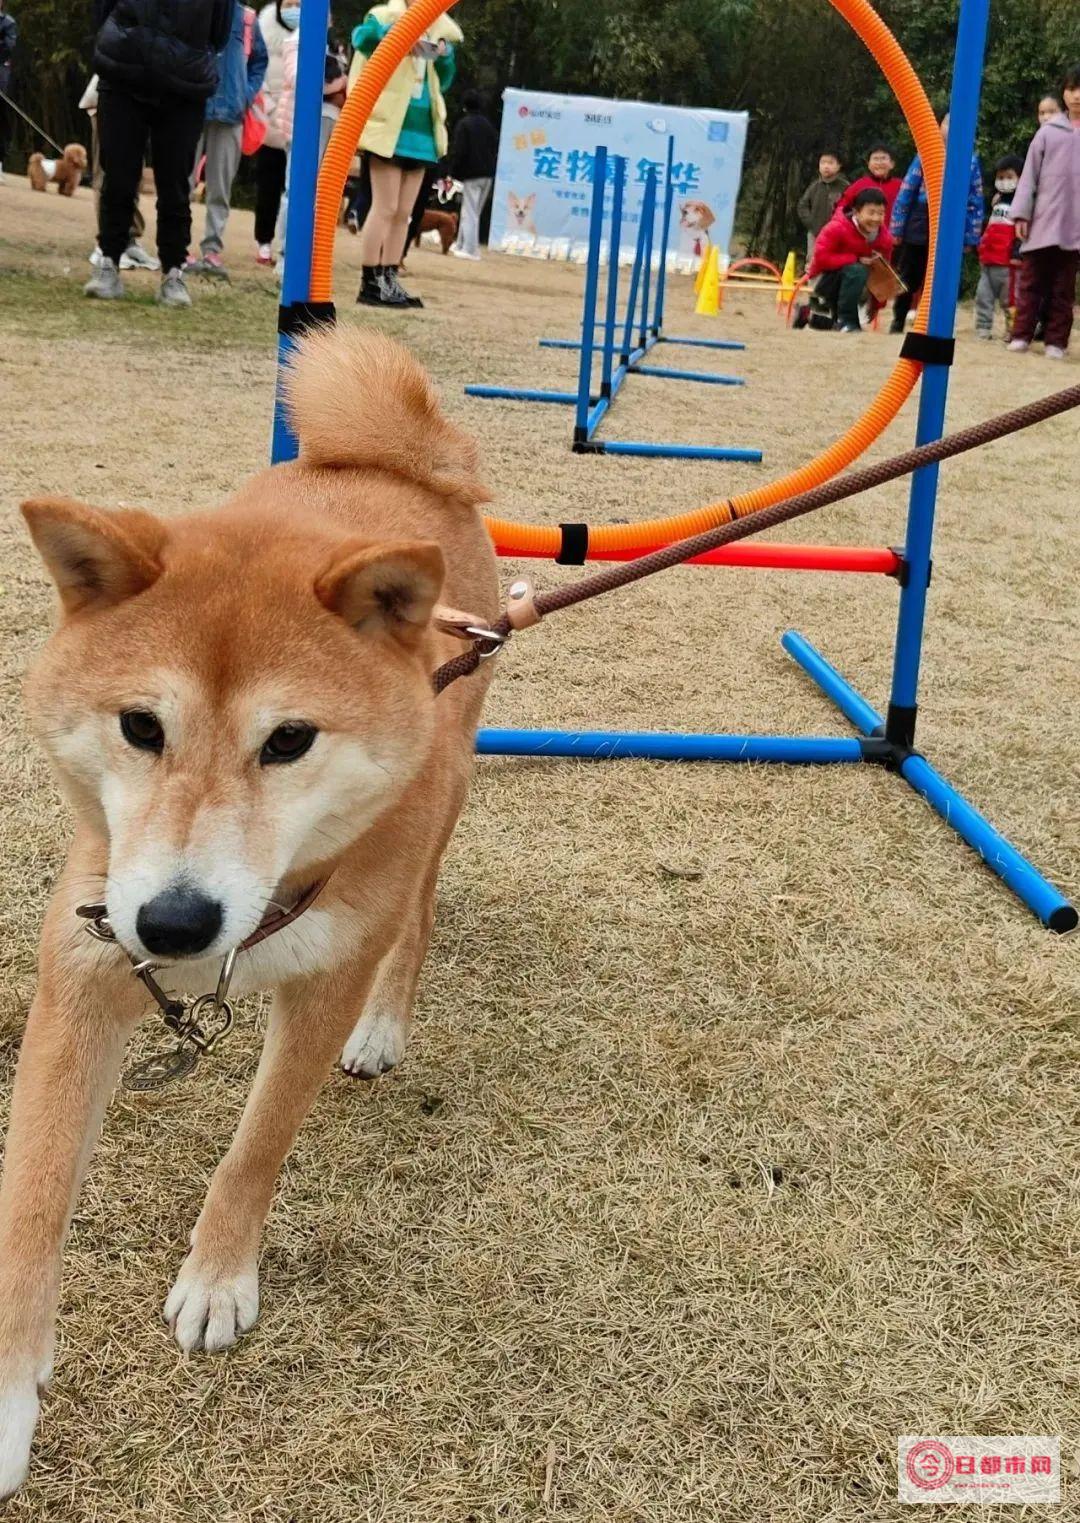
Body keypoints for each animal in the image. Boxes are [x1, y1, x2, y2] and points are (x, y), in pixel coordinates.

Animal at [0, 324, 499, 1498]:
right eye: (141, 725)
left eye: (290, 740)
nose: (176, 925)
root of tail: (402, 462)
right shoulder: (87, 962)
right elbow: (32, 1202)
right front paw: (4, 1403)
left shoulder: (323, 975)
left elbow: (256, 1146)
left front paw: (218, 1277)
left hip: (439, 810)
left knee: (416, 923)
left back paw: (386, 1025)